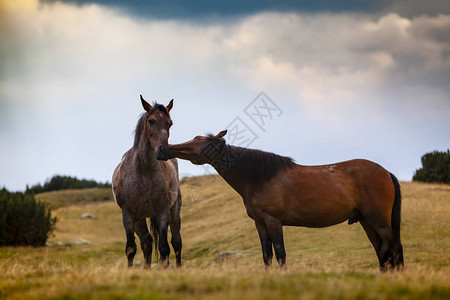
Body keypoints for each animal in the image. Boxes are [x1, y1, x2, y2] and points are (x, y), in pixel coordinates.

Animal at [111, 95, 182, 268]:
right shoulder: (128, 215)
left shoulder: (163, 212)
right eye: (151, 120)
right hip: (139, 219)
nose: (164, 150)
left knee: (176, 242)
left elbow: (164, 248)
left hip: (174, 212)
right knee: (147, 243)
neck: (143, 172)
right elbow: (131, 248)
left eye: (170, 123)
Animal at [159, 130, 404, 270]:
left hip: (378, 220)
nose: (166, 149)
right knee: (382, 250)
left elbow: (280, 254)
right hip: (365, 220)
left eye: (205, 144)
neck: (258, 177)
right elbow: (267, 256)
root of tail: (386, 172)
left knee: (394, 246)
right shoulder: (260, 224)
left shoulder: (274, 222)